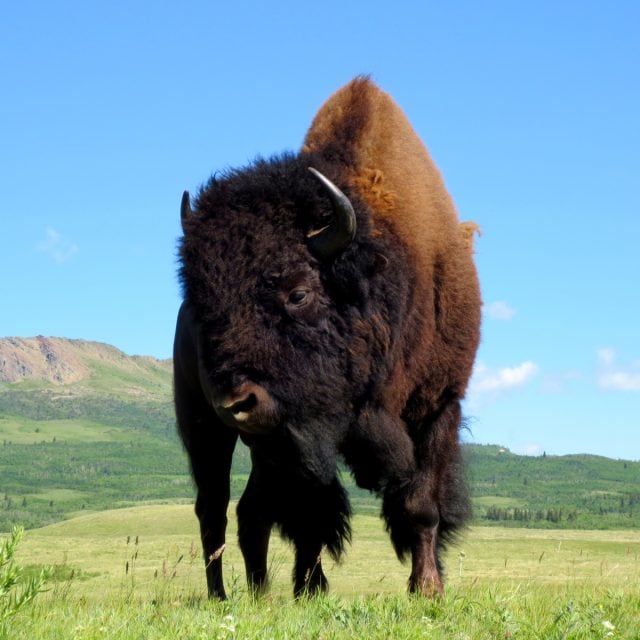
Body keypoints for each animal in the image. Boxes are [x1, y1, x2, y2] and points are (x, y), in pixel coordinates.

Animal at [173, 77, 481, 598]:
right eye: (204, 300)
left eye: (298, 292)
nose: (236, 402)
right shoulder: (302, 437)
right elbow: (313, 513)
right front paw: (311, 588)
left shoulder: (439, 405)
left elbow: (420, 505)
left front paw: (428, 589)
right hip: (205, 428)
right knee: (214, 510)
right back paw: (222, 596)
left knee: (250, 513)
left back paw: (261, 595)